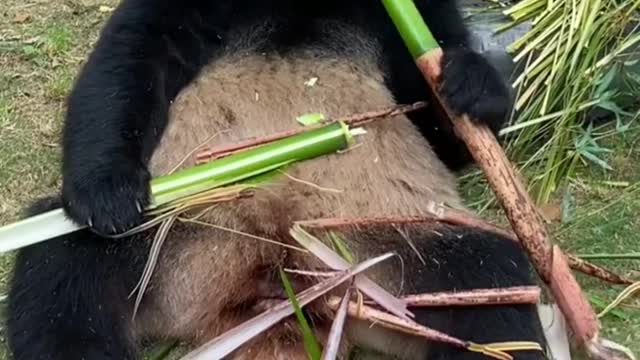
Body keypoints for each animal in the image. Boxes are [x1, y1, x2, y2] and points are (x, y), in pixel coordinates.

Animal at [5, 0, 544, 360]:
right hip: (172, 237)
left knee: (494, 291)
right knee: (63, 279)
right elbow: (126, 64)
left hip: (395, 252)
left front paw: (473, 82)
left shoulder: (416, 19)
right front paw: (109, 195)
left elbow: (439, 123)